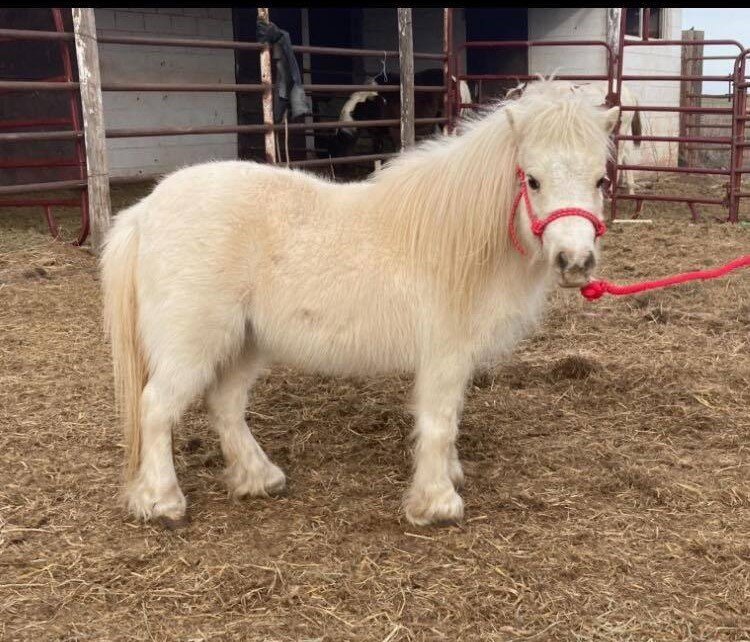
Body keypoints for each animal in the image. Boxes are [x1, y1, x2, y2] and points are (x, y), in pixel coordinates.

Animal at [101, 80, 619, 528]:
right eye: (532, 181)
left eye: (600, 180)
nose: (575, 262)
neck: (458, 238)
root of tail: (144, 211)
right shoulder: (444, 354)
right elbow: (439, 422)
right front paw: (437, 504)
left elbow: (450, 420)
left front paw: (449, 476)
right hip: (193, 343)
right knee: (156, 408)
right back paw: (162, 502)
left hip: (244, 342)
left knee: (225, 405)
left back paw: (259, 478)